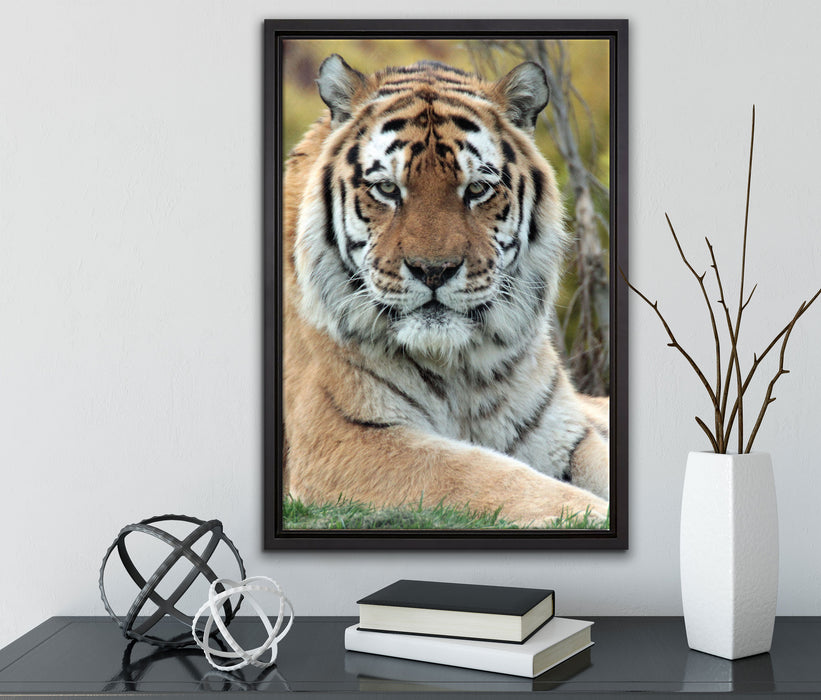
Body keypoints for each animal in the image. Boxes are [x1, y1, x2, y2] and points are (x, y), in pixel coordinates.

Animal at [282, 54, 610, 527]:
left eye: (476, 189)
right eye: (387, 189)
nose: (433, 271)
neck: (462, 369)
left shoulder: (564, 432)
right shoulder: (344, 438)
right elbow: (484, 473)